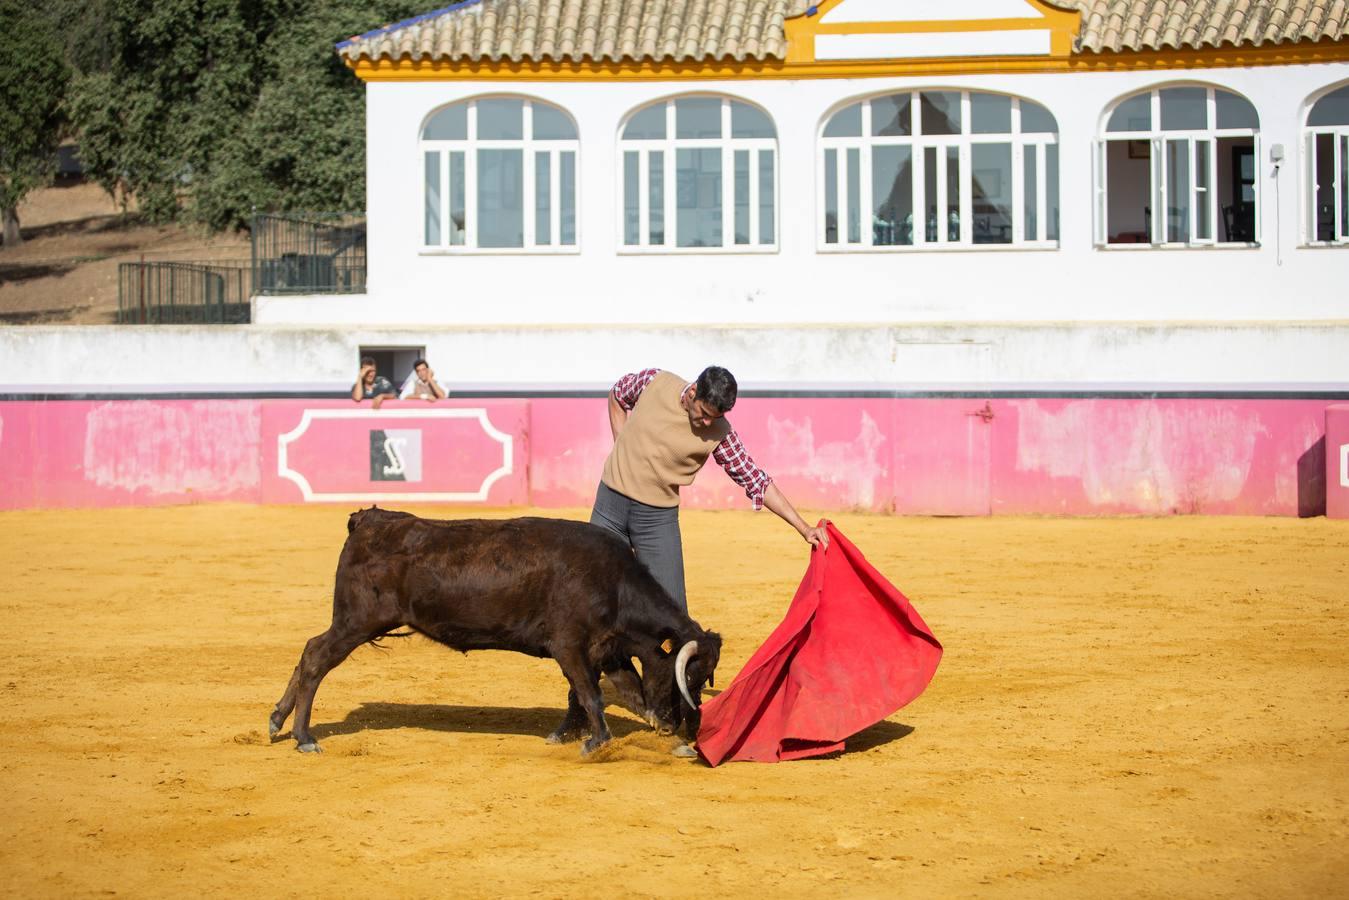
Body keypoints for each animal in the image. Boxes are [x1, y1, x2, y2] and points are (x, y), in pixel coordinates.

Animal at [267, 510, 723, 755]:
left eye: (705, 679)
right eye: (689, 676)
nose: (688, 727)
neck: (613, 581)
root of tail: (368, 519)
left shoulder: (605, 650)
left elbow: (624, 693)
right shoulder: (568, 645)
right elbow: (590, 694)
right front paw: (596, 743)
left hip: (355, 621)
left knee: (310, 653)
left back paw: (277, 721)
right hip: (357, 620)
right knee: (315, 657)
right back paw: (303, 736)